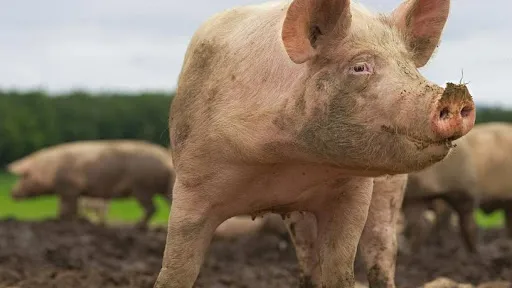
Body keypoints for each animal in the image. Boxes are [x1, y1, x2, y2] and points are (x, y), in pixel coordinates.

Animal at [6, 140, 176, 230]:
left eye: (24, 176)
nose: (11, 193)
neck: (51, 169)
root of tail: (165, 159)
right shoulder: (67, 191)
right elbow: (65, 209)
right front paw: (62, 221)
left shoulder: (70, 188)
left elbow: (68, 208)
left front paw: (65, 221)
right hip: (161, 188)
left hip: (142, 187)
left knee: (151, 208)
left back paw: (137, 227)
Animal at [155, 0, 476, 286]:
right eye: (359, 67)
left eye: (409, 66)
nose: (455, 94)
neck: (286, 162)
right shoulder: (191, 184)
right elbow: (176, 270)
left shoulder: (352, 193)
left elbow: (341, 269)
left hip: (391, 191)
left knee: (382, 250)